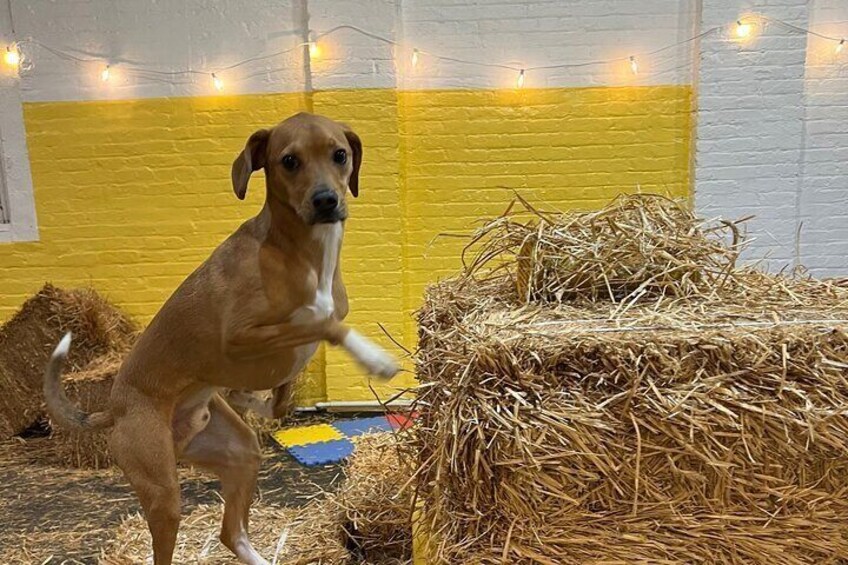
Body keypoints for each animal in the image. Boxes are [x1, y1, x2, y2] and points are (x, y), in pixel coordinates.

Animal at [44, 112, 402, 560]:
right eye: (289, 161)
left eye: (339, 154)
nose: (325, 201)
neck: (298, 251)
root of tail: (113, 408)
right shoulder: (239, 337)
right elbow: (321, 323)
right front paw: (375, 357)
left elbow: (282, 397)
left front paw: (250, 398)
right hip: (163, 493)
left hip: (239, 452)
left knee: (231, 533)